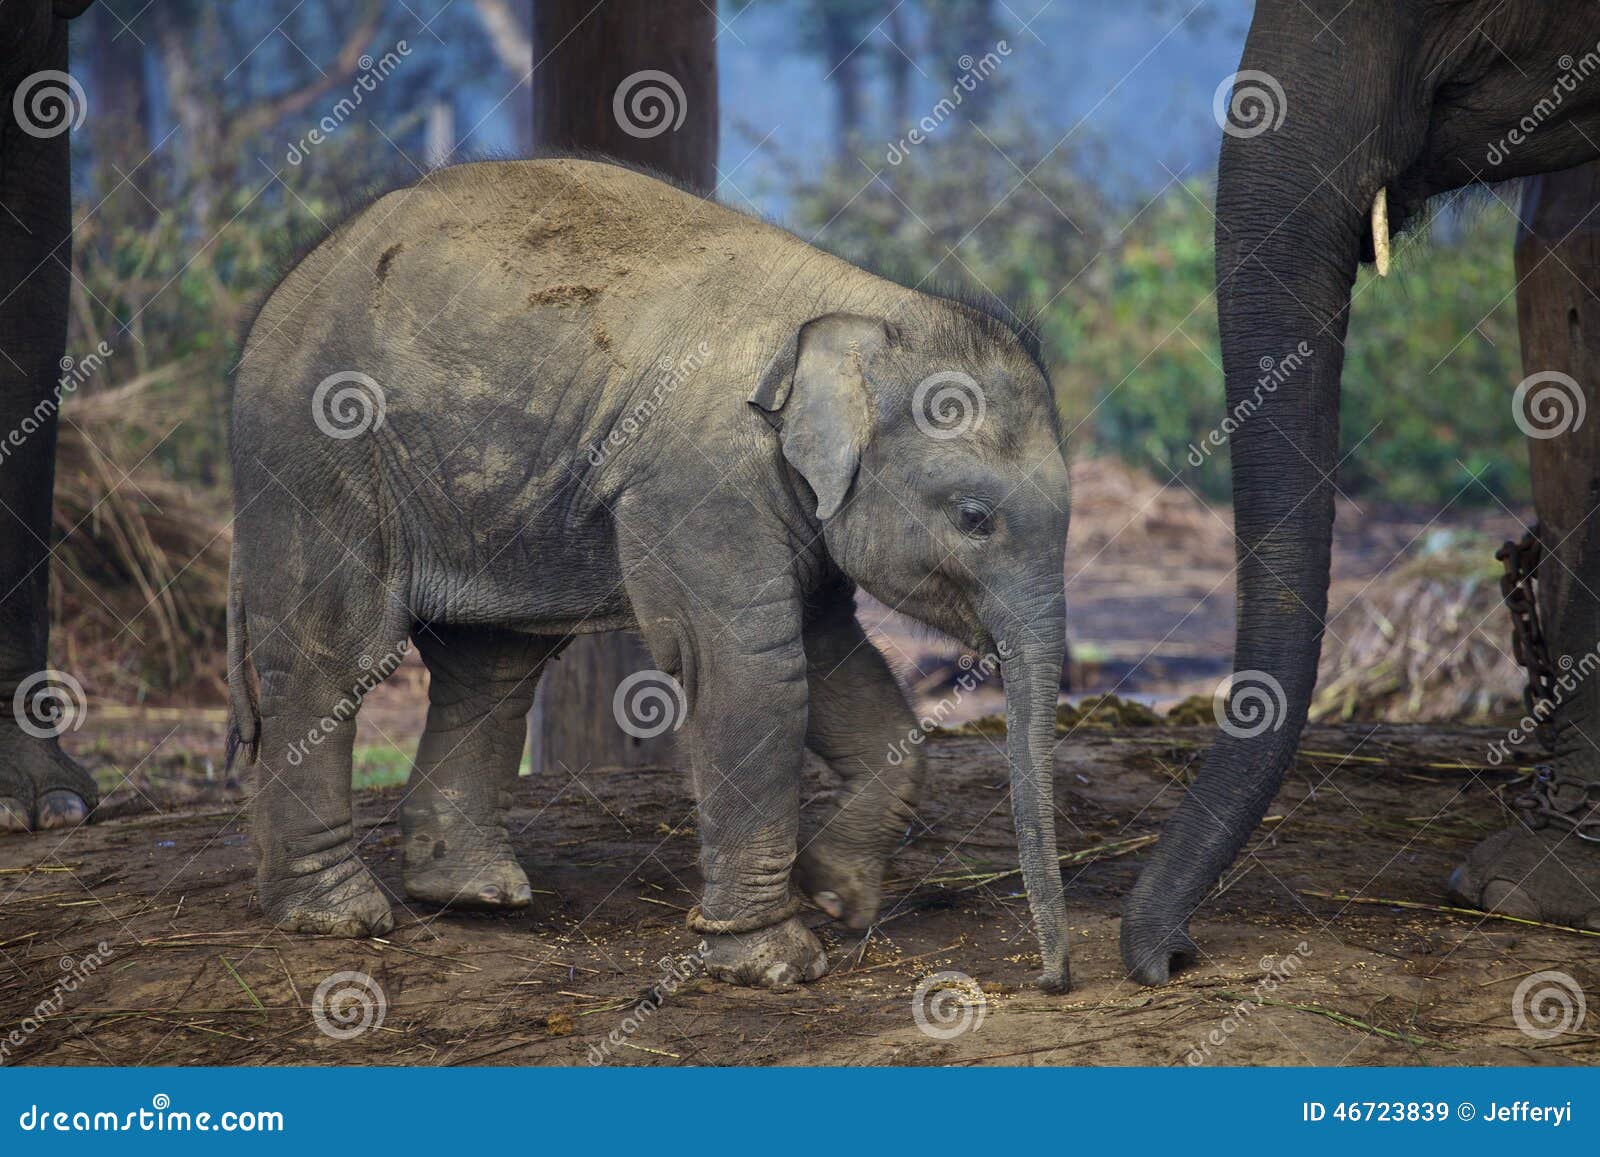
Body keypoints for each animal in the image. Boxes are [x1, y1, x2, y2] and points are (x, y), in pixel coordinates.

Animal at [225, 158, 1075, 992]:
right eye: (975, 517)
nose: (1050, 978)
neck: (860, 309)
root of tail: (282, 293)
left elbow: (831, 655)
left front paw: (837, 894)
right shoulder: (702, 480)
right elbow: (753, 670)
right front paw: (776, 962)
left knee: (491, 665)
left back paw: (474, 893)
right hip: (319, 451)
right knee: (334, 654)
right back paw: (338, 915)